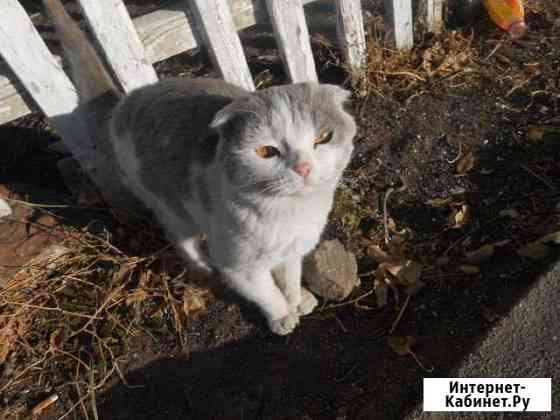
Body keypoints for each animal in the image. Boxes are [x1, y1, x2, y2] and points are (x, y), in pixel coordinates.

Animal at [46, 0, 356, 334]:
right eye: (266, 151)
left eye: (323, 138)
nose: (303, 168)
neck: (292, 214)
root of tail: (125, 103)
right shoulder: (239, 267)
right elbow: (266, 292)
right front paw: (282, 315)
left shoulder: (293, 251)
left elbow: (289, 278)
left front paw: (297, 299)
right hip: (171, 208)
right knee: (182, 240)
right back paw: (202, 267)